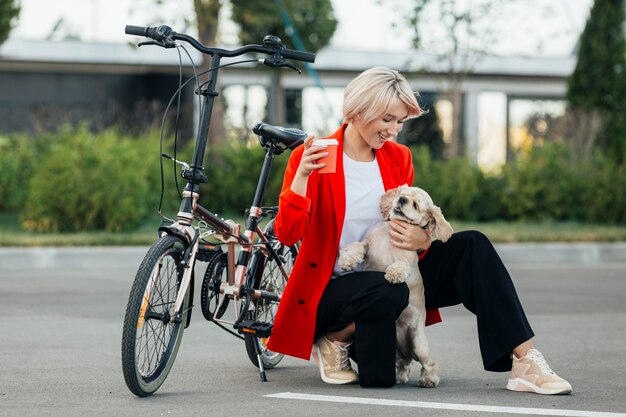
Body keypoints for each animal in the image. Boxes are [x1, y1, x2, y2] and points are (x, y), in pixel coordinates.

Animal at [338, 185, 450, 386]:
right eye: (402, 194)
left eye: (415, 204)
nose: (402, 200)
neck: (390, 233)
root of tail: (406, 351)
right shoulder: (368, 244)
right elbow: (357, 247)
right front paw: (347, 260)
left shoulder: (405, 259)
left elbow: (400, 266)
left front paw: (393, 275)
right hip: (396, 351)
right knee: (403, 364)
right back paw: (399, 377)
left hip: (419, 345)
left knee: (429, 363)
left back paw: (428, 380)